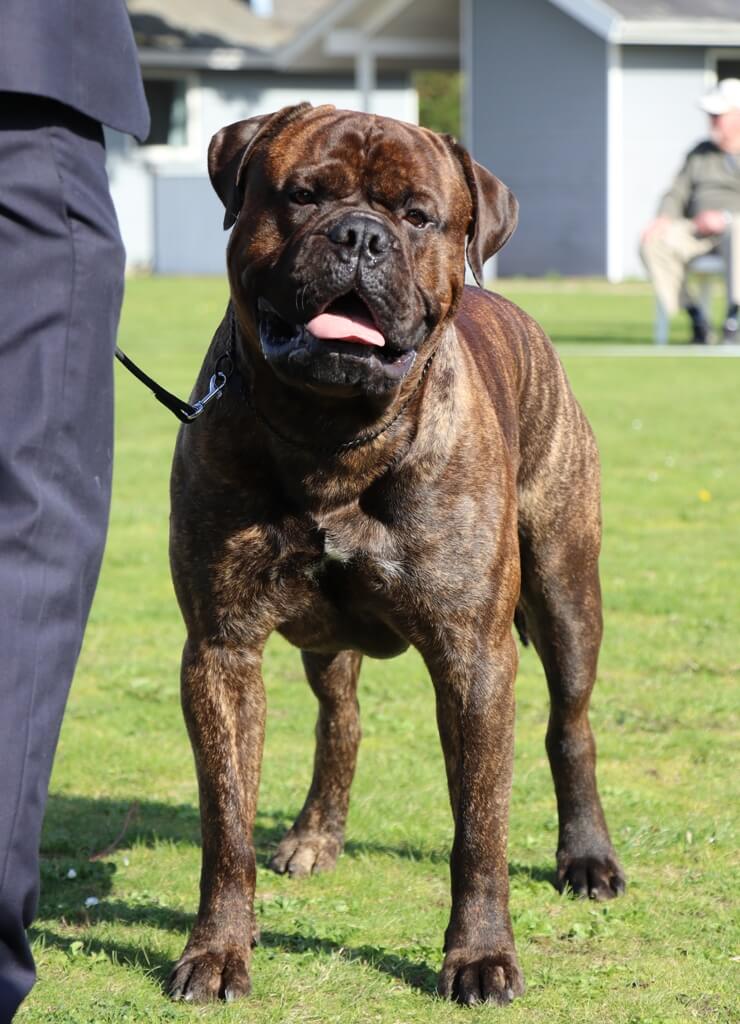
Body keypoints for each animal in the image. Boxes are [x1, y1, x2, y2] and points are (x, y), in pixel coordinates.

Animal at [167, 103, 625, 1007]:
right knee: (339, 719)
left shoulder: (474, 656)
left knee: (570, 725)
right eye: (302, 195)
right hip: (322, 640)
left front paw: (479, 956)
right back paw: (315, 835)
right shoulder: (221, 649)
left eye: (418, 216)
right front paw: (219, 949)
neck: (330, 437)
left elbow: (479, 827)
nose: (360, 236)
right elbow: (225, 823)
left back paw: (587, 856)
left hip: (565, 593)